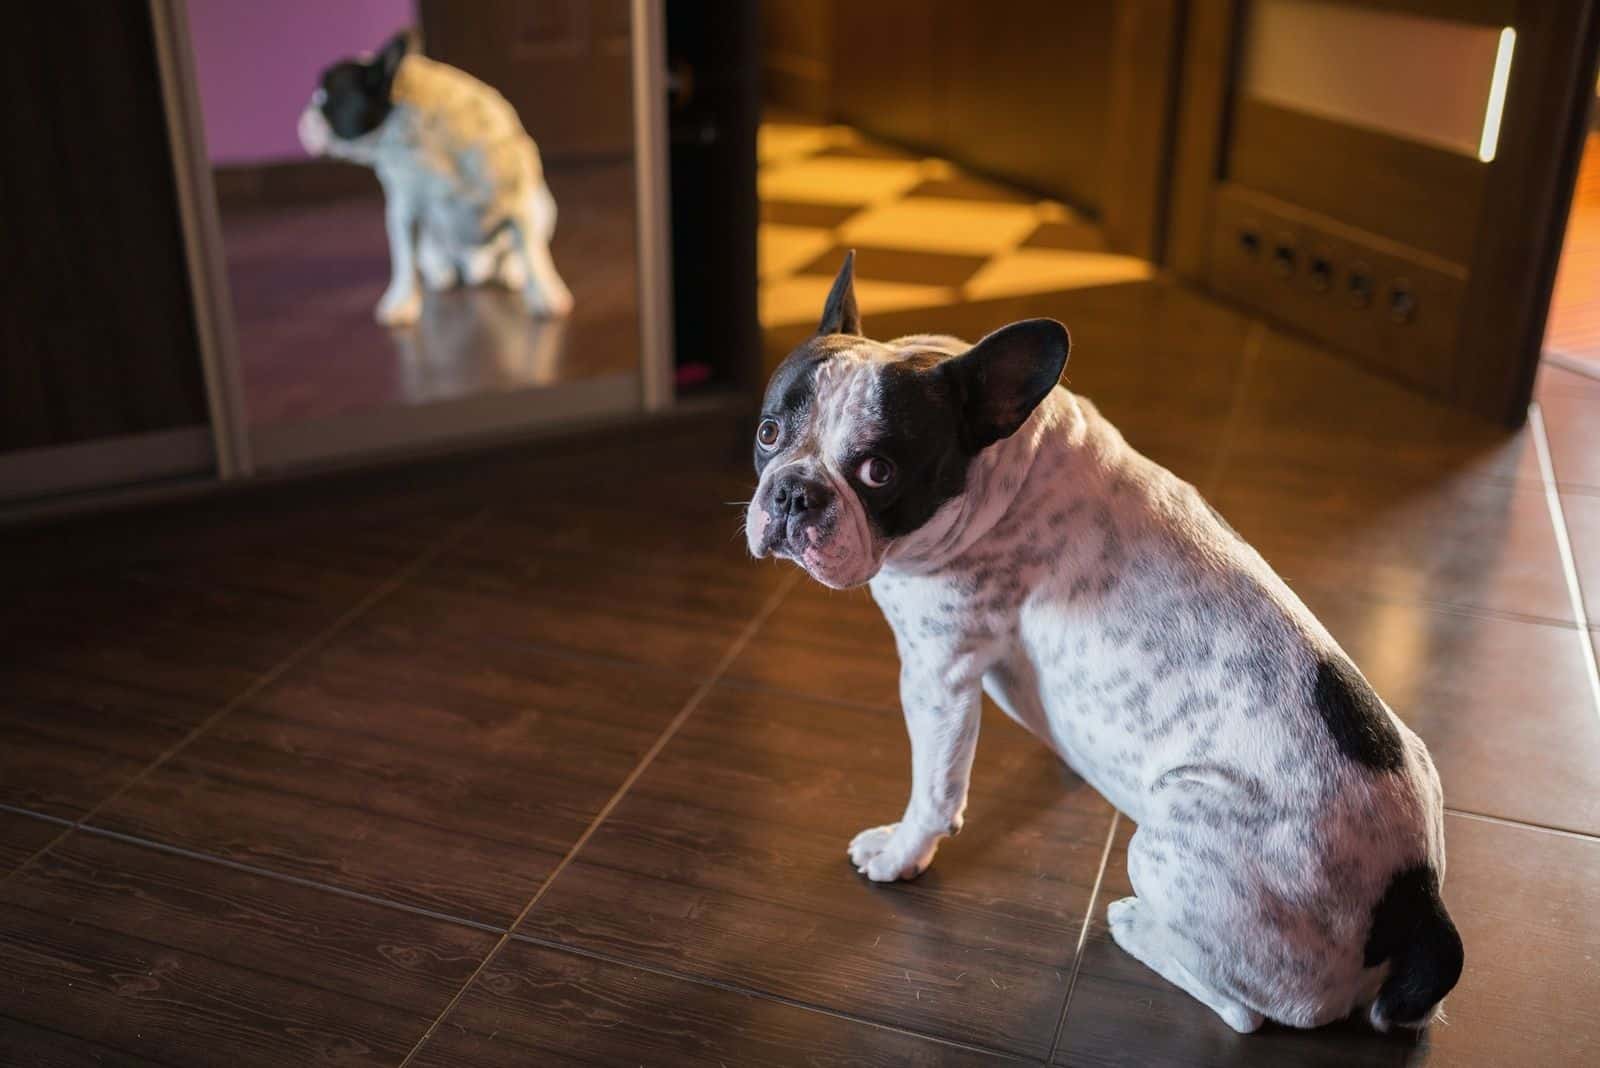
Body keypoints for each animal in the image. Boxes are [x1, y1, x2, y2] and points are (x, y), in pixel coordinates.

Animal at [300, 32, 576, 326]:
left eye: (325, 97)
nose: (306, 112)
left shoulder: (518, 198)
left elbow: (532, 252)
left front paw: (544, 295)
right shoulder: (402, 212)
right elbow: (403, 261)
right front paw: (401, 301)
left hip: (543, 203)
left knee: (522, 246)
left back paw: (513, 269)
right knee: (428, 255)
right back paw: (440, 269)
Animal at [748, 254, 1465, 1029]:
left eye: (879, 472)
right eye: (768, 433)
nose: (793, 493)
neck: (1001, 473)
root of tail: (1418, 904)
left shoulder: (938, 678)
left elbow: (934, 792)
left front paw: (900, 853)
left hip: (1173, 836)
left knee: (1247, 1008)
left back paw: (1134, 927)